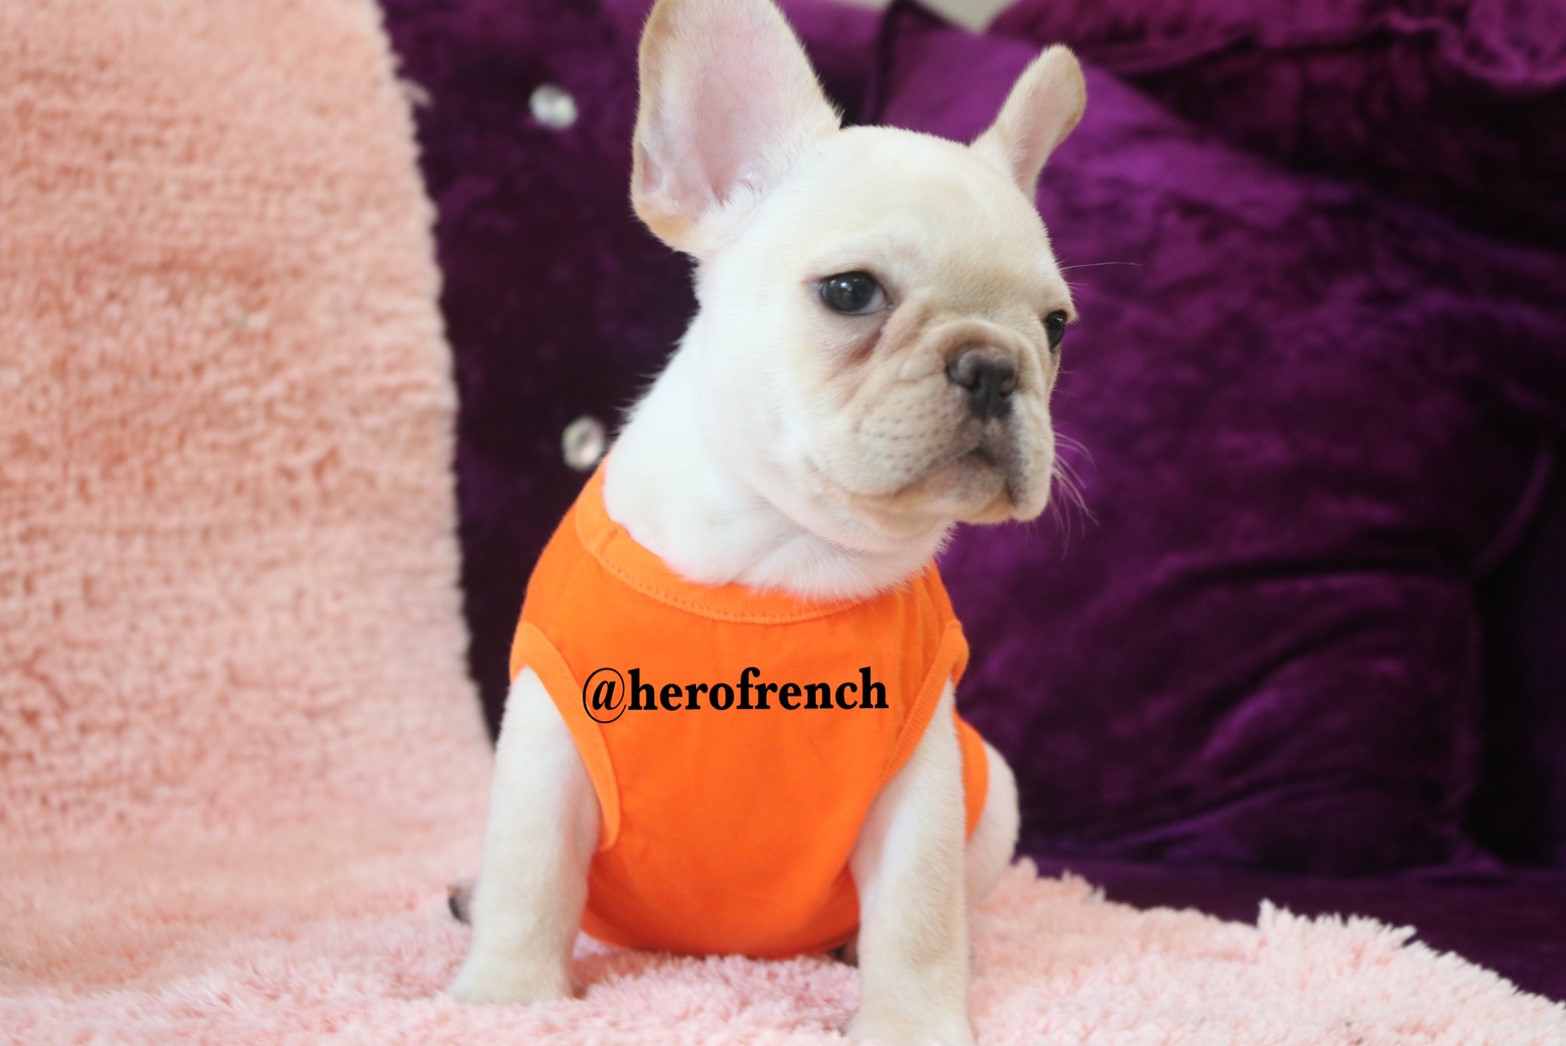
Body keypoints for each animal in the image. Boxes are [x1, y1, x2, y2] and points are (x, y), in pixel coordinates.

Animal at [446, 1, 1084, 1042]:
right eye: (851, 291)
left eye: (1056, 327)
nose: (995, 365)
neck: (785, 548)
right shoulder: (546, 740)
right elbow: (530, 875)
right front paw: (506, 997)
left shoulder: (921, 781)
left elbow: (918, 914)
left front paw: (914, 1020)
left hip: (993, 798)